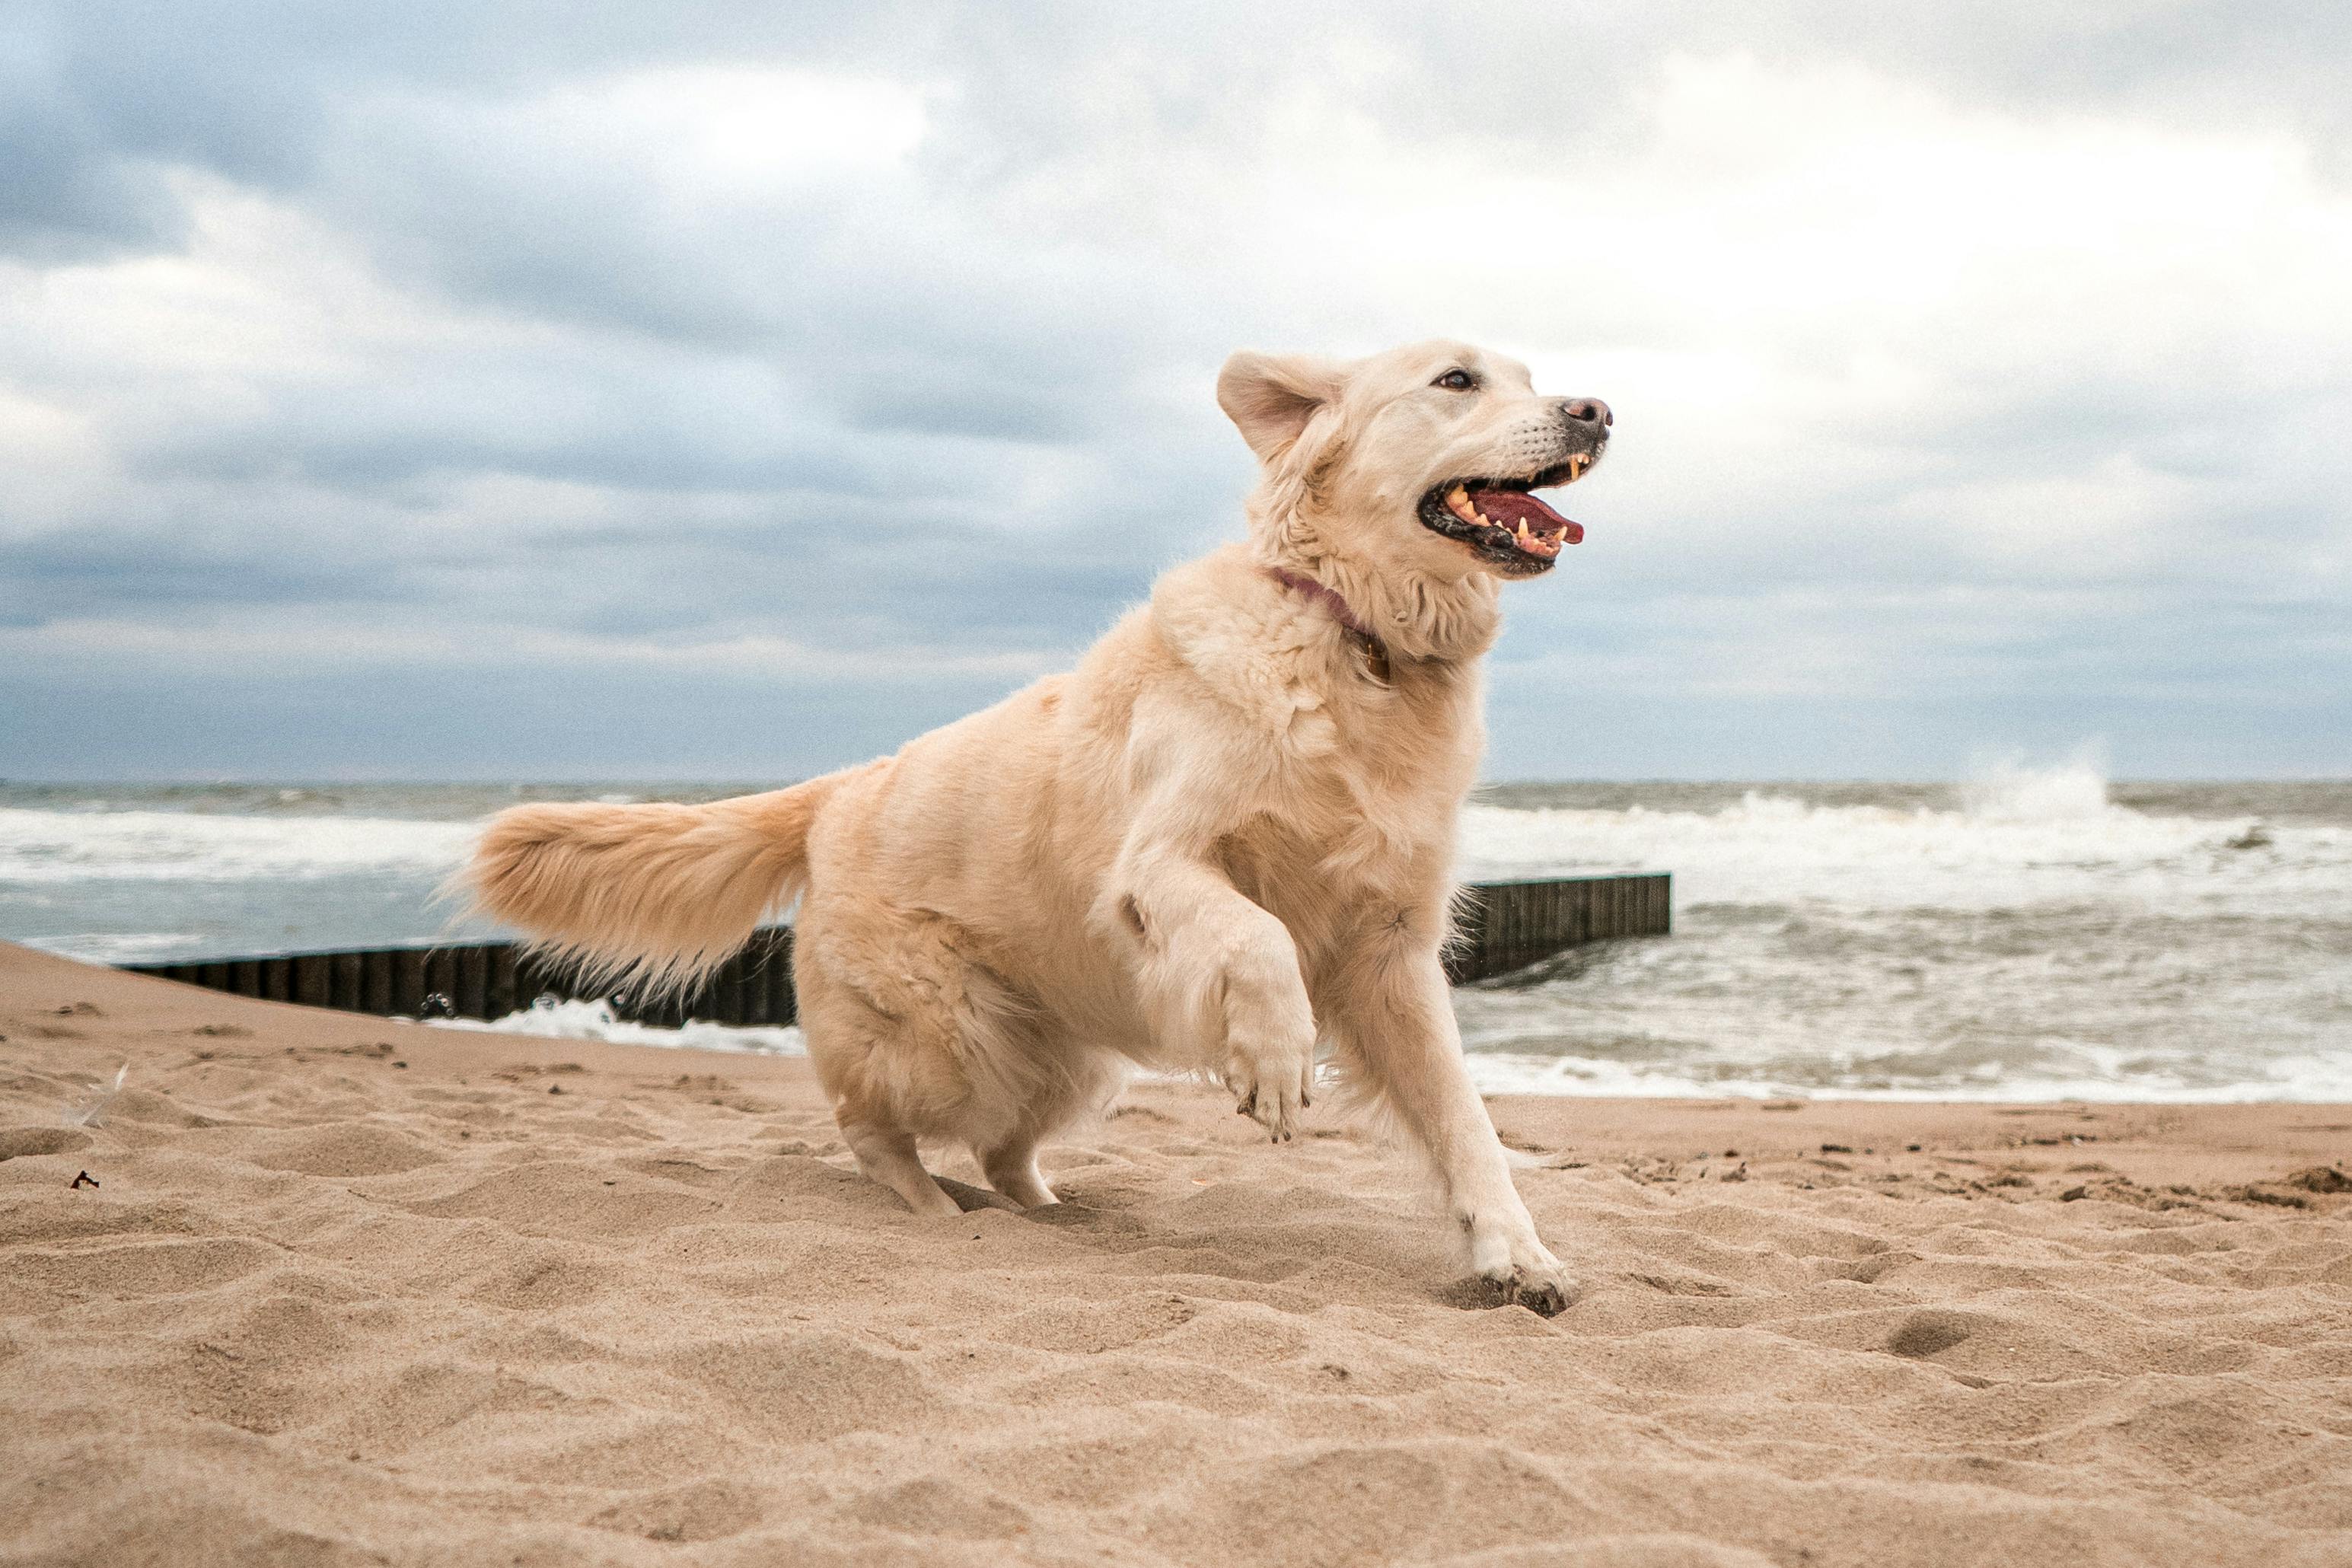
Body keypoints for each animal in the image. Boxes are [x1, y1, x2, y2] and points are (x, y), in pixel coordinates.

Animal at [454, 340, 1617, 1316]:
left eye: (1529, 374)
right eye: (1457, 380)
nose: (1598, 410)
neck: (1358, 640)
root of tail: (837, 789)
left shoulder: (1390, 953)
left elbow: (1466, 1124)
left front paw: (1516, 1254)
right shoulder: (1161, 864)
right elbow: (1259, 938)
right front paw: (1275, 1061)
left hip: (1067, 1058)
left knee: (1004, 1154)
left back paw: (1053, 1214)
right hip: (950, 1042)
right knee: (870, 1125)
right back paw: (932, 1212)